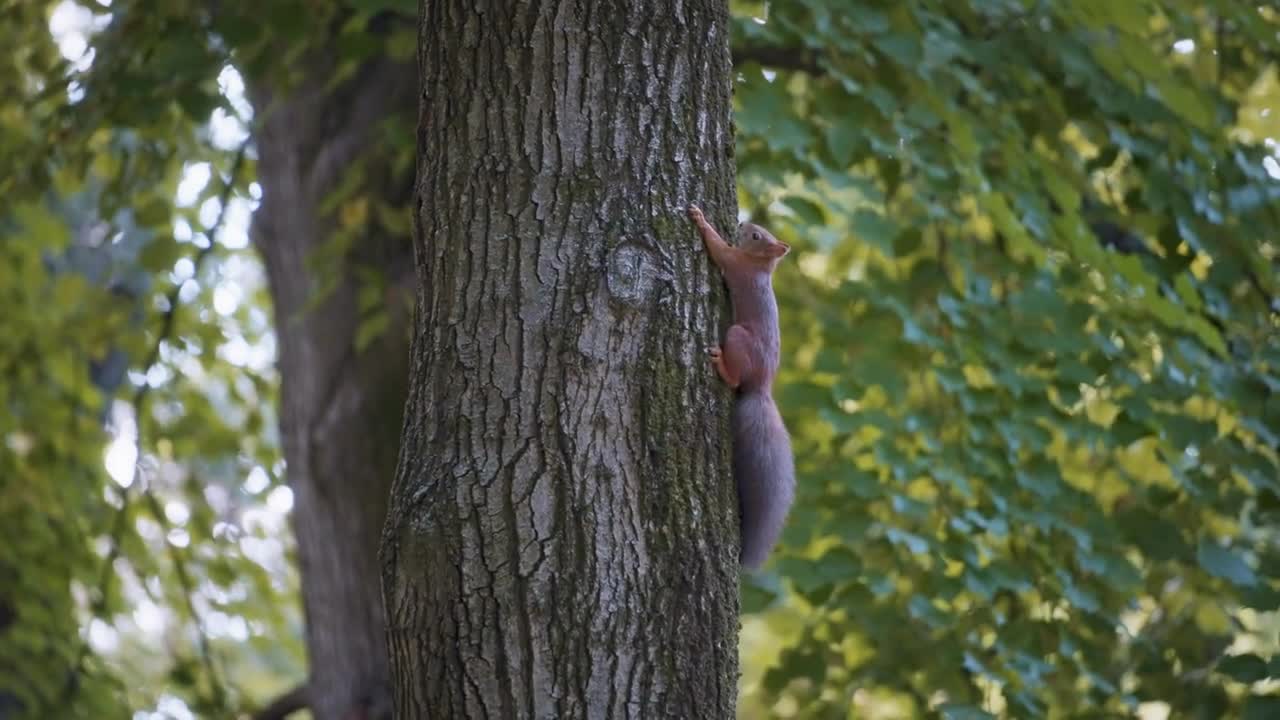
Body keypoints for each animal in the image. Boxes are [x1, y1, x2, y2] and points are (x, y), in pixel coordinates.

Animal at [686, 204, 793, 568]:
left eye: (757, 236)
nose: (743, 222)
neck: (760, 266)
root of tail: (761, 386)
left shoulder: (733, 262)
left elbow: (717, 247)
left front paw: (700, 219)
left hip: (736, 337)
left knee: (734, 378)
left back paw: (721, 365)